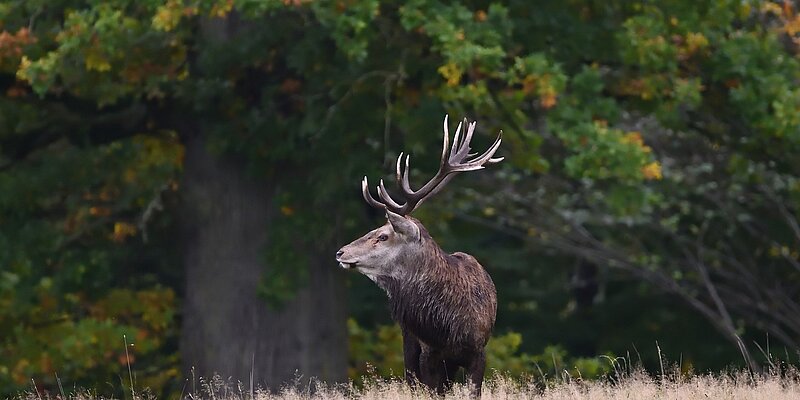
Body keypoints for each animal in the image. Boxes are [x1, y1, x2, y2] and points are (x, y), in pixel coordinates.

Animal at [335, 115, 502, 396]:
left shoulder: (478, 351)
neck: (448, 326)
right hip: (410, 346)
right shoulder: (428, 352)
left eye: (383, 236)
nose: (340, 252)